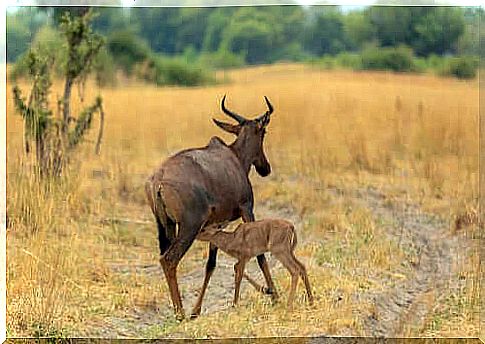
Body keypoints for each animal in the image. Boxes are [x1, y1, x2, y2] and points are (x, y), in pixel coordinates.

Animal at [146, 94, 276, 320]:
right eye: (264, 132)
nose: (265, 168)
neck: (233, 157)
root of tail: (159, 181)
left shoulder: (217, 224)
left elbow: (211, 265)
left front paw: (196, 311)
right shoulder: (247, 209)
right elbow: (260, 254)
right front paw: (275, 295)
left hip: (167, 226)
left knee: (166, 257)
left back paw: (182, 311)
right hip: (189, 227)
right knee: (168, 260)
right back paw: (180, 313)